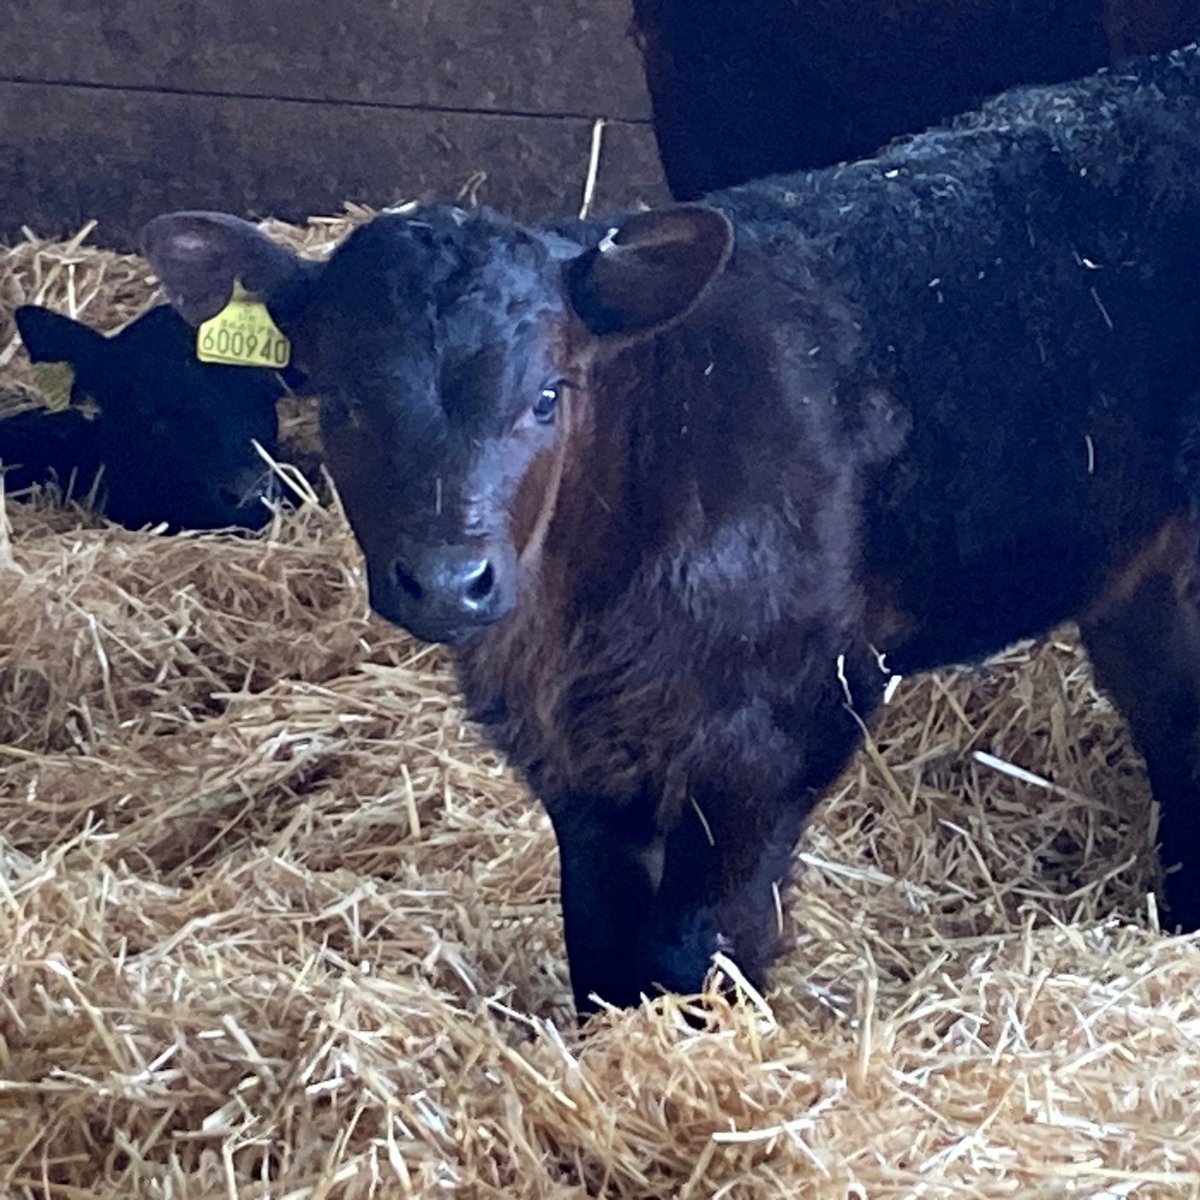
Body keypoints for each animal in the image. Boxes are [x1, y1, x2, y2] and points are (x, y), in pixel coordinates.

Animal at [143, 43, 1200, 1014]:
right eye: (342, 404)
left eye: (547, 396)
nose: (447, 579)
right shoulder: (574, 760)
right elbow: (601, 941)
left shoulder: (789, 713)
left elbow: (701, 942)